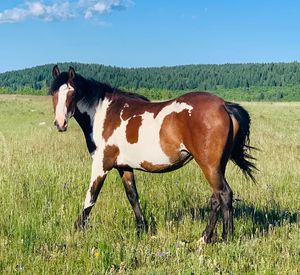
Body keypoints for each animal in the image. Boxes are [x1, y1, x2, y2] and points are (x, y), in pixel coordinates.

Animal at [48, 65, 255, 244]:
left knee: (224, 195)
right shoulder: (124, 167)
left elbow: (91, 197)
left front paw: (77, 228)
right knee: (216, 199)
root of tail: (224, 105)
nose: (60, 123)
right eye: (54, 93)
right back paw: (204, 237)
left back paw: (226, 237)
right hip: (217, 166)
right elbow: (132, 196)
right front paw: (142, 228)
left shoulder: (101, 165)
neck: (103, 113)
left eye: (72, 93)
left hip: (209, 166)